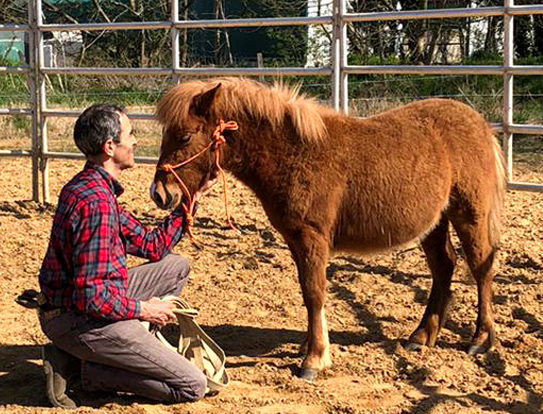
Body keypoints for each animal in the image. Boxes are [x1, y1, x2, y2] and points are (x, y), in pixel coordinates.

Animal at [150, 77, 506, 382]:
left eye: (185, 136)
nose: (160, 194)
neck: (295, 153)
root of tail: (480, 124)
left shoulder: (312, 238)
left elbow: (315, 291)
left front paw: (315, 359)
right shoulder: (295, 240)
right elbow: (307, 292)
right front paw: (310, 347)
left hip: (469, 214)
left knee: (481, 267)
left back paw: (481, 339)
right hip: (435, 222)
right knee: (444, 266)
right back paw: (421, 336)